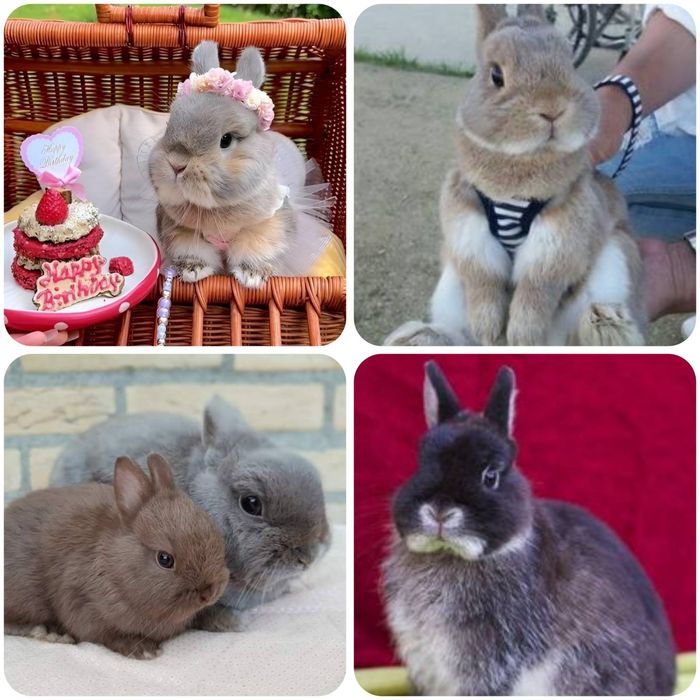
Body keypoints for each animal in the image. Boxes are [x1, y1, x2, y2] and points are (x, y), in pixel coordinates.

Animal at [5, 454, 229, 660]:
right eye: (165, 559)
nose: (210, 592)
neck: (115, 567)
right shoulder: (81, 603)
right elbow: (107, 635)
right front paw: (143, 650)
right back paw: (50, 632)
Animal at [149, 41, 296, 288]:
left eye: (226, 140)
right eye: (169, 125)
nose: (177, 164)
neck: (214, 208)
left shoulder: (267, 228)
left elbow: (255, 250)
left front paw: (252, 277)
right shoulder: (183, 234)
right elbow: (194, 253)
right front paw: (192, 271)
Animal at [385, 5, 645, 347]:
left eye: (569, 63)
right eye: (496, 75)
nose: (552, 108)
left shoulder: (559, 238)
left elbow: (536, 288)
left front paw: (522, 336)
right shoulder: (468, 228)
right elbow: (485, 281)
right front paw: (488, 329)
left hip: (613, 264)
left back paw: (606, 323)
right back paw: (418, 336)